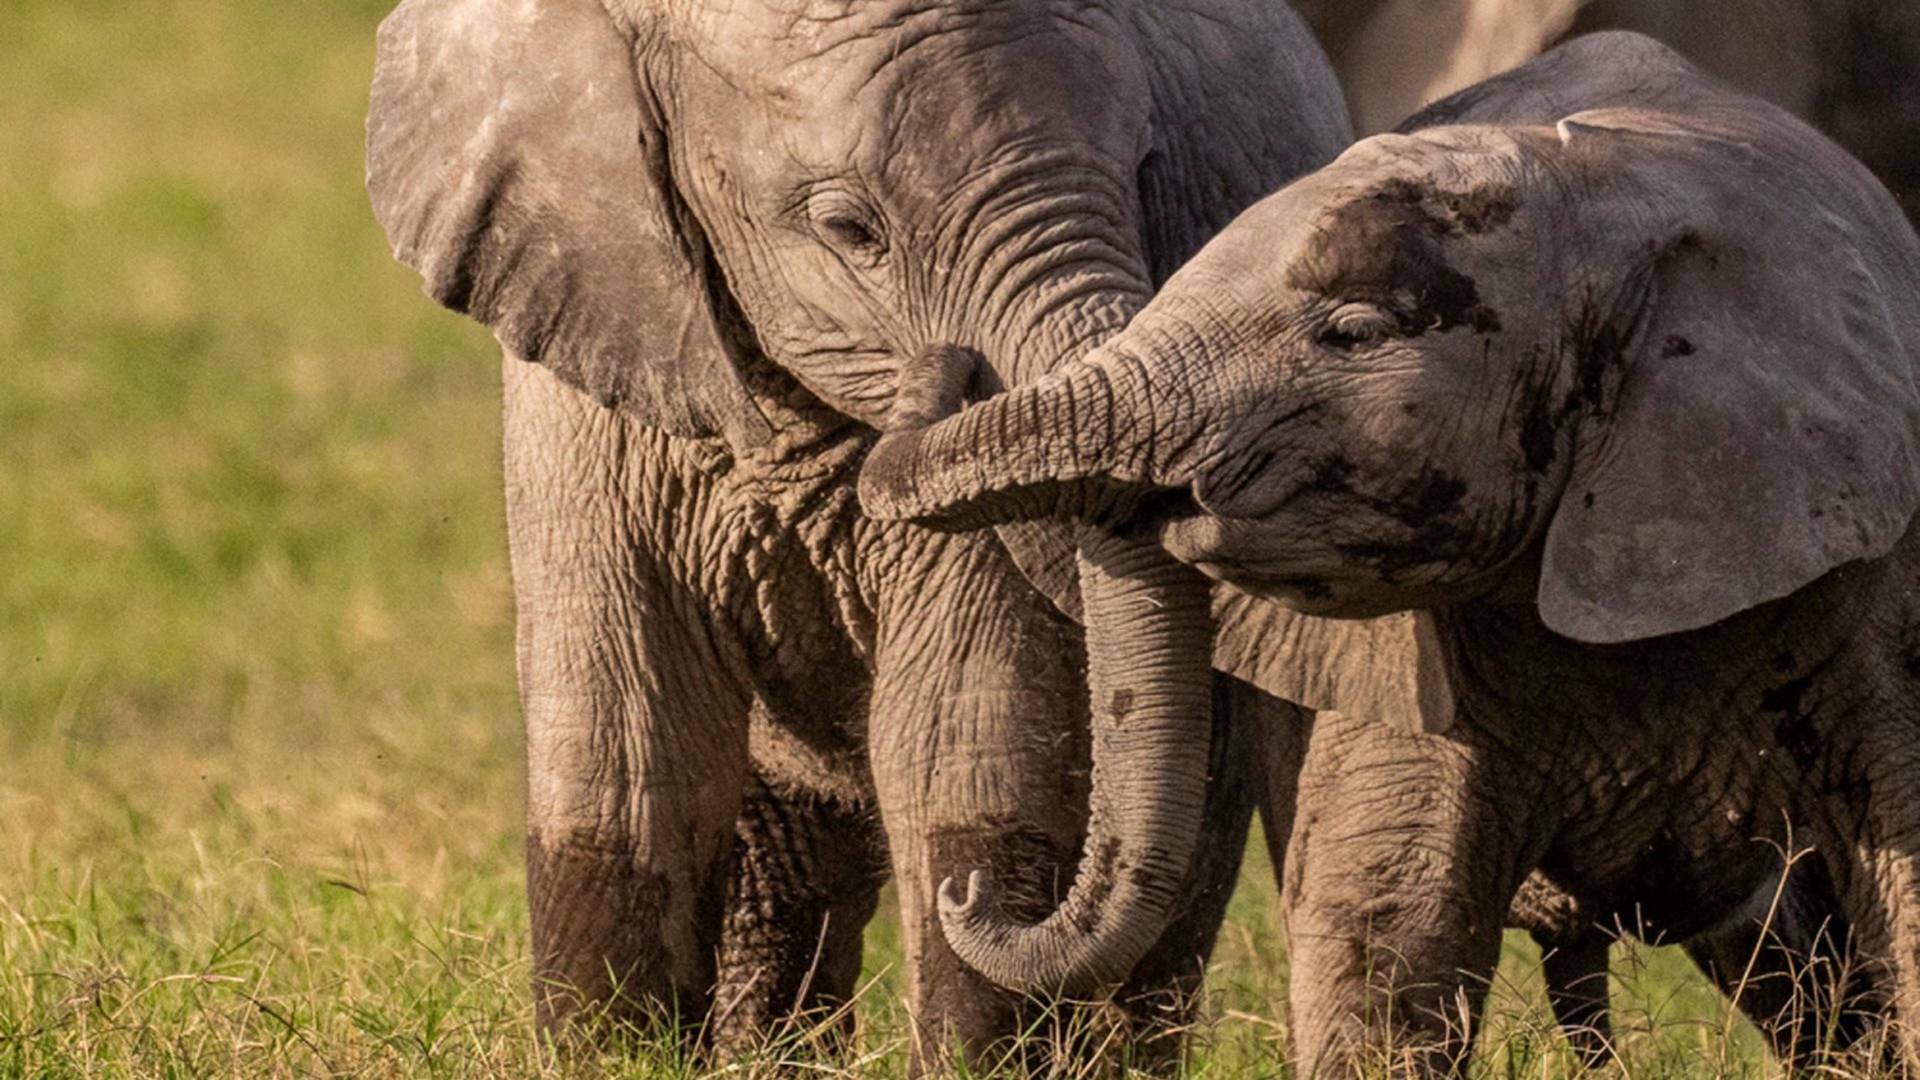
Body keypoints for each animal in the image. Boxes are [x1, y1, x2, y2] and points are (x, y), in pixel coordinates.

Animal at [366, 0, 1359, 1060]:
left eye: (1144, 172)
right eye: (848, 228)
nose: (946, 376)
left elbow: (959, 747)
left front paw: (970, 1032)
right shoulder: (590, 349)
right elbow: (627, 748)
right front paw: (614, 1060)